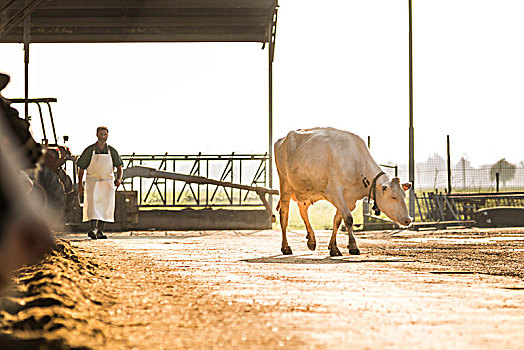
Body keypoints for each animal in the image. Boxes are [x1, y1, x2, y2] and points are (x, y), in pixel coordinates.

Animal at [274, 127, 414, 256]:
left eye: (404, 195)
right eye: (394, 197)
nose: (408, 220)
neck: (355, 163)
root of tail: (282, 140)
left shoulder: (349, 199)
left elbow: (337, 220)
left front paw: (334, 248)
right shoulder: (335, 193)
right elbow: (348, 218)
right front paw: (353, 246)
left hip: (307, 191)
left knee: (303, 210)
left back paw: (312, 240)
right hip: (285, 185)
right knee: (284, 215)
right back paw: (286, 247)